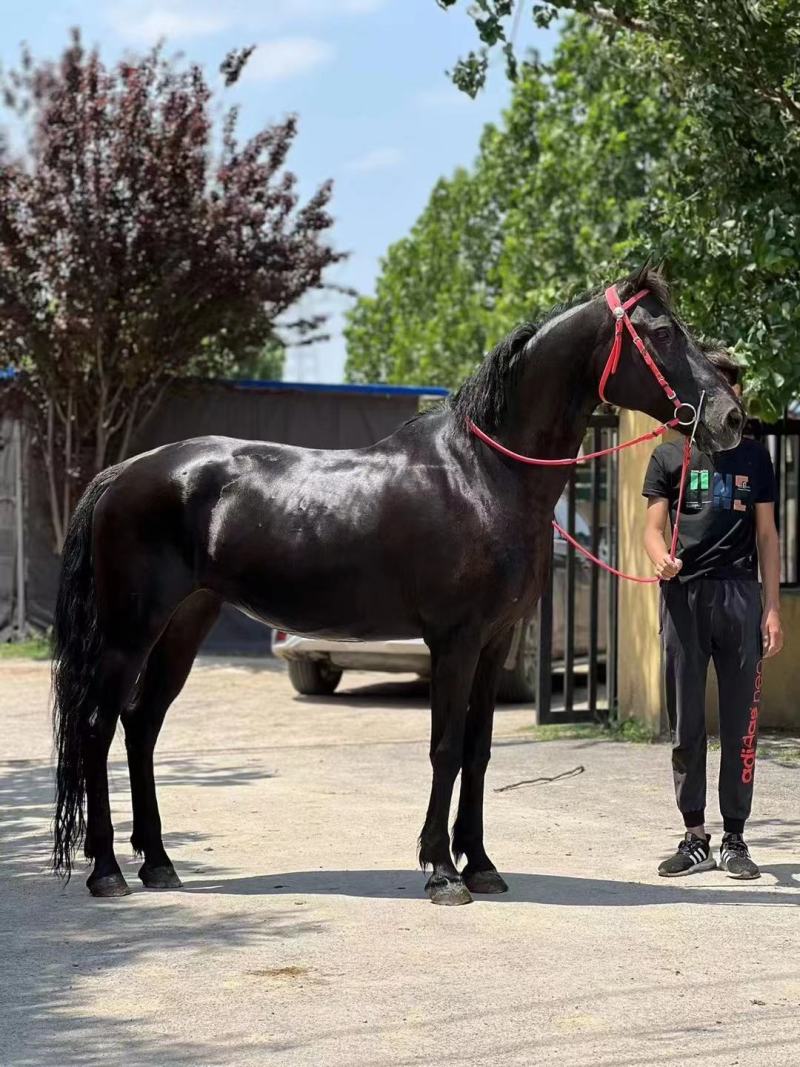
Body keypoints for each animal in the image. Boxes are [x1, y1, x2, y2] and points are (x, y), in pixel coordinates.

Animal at [51, 266, 743, 904]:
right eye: (661, 331)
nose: (732, 417)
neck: (483, 473)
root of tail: (122, 473)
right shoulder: (454, 642)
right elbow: (445, 747)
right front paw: (441, 871)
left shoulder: (495, 642)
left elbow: (478, 750)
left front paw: (480, 864)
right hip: (130, 631)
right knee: (98, 724)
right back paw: (108, 872)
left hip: (184, 625)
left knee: (141, 724)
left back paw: (158, 862)